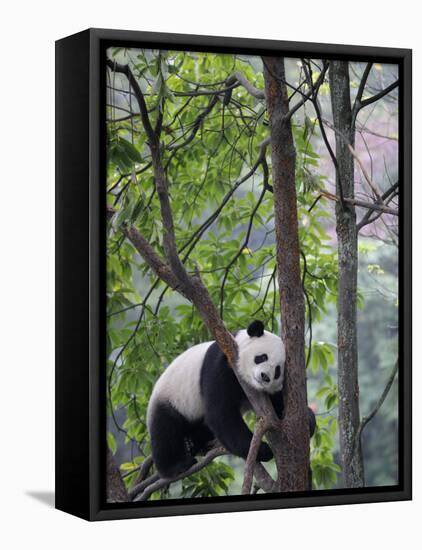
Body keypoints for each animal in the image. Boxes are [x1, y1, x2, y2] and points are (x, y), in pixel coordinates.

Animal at [147, 322, 314, 480]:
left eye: (278, 371)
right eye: (262, 357)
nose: (265, 376)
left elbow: (278, 407)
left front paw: (308, 420)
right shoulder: (222, 364)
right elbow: (221, 414)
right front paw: (263, 450)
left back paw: (196, 444)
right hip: (172, 397)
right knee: (166, 429)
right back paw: (176, 466)